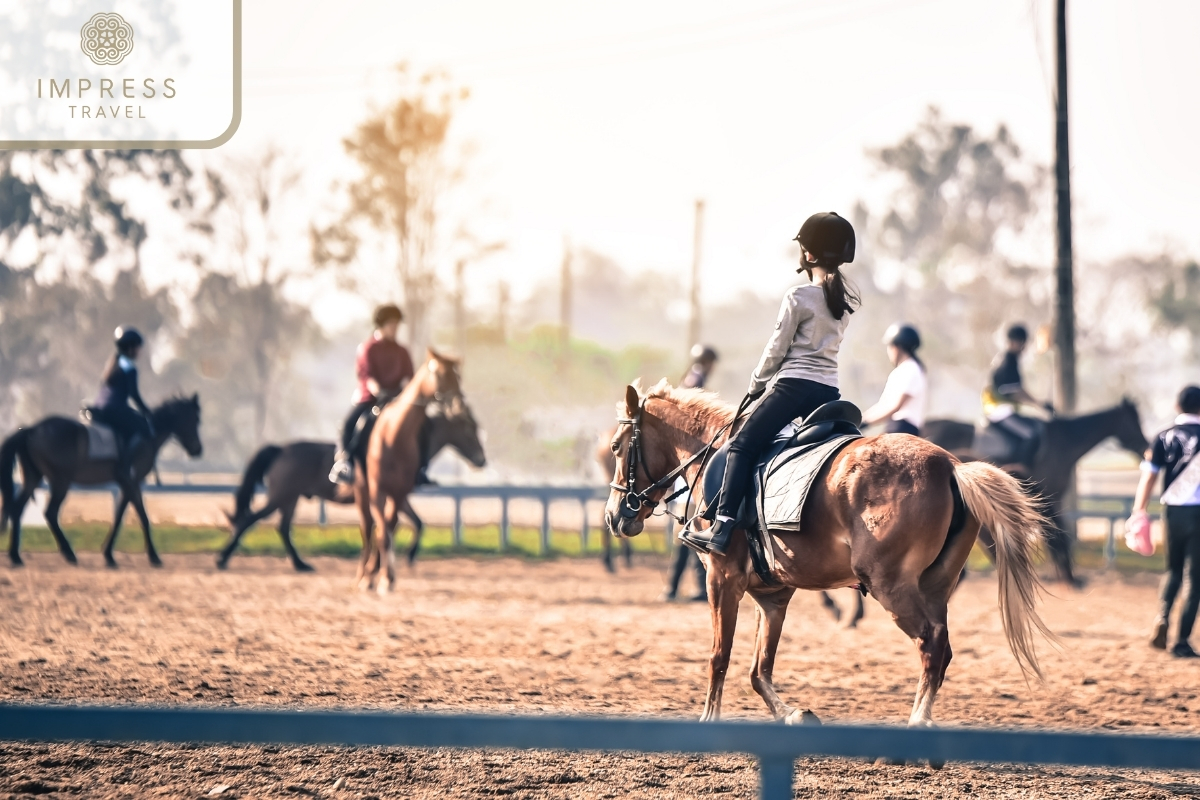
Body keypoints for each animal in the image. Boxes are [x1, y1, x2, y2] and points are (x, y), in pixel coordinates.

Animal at [1, 398, 202, 566]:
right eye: (194, 421)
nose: (198, 450)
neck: (148, 435)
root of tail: (32, 429)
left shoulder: (126, 484)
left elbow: (119, 516)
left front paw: (109, 555)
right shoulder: (132, 481)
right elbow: (142, 517)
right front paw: (153, 556)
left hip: (33, 478)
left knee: (17, 509)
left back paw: (16, 556)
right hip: (60, 481)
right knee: (50, 513)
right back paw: (69, 554)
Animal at [218, 402, 484, 573]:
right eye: (468, 429)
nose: (481, 459)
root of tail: (281, 449)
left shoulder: (398, 498)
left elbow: (415, 523)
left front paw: (394, 559)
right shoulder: (393, 496)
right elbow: (403, 524)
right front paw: (395, 559)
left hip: (290, 499)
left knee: (282, 528)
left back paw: (301, 564)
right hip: (281, 496)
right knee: (250, 520)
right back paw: (223, 558)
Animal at [355, 350, 477, 594]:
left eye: (458, 376)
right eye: (440, 374)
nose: (481, 459)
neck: (394, 437)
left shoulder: (400, 494)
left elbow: (398, 527)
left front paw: (388, 573)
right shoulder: (378, 491)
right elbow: (384, 533)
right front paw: (381, 576)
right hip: (362, 491)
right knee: (367, 529)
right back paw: (363, 574)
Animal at [604, 383, 1046, 729]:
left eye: (616, 447)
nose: (613, 516)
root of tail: (952, 464)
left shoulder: (722, 579)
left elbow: (719, 656)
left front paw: (708, 720)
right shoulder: (773, 597)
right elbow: (759, 669)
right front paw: (793, 714)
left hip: (891, 586)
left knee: (931, 643)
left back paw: (919, 721)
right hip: (935, 587)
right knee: (942, 649)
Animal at [921, 398, 1147, 585]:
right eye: (1134, 421)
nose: (1146, 448)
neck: (1064, 442)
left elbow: (1056, 534)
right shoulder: (1049, 497)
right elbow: (1056, 535)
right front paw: (1063, 573)